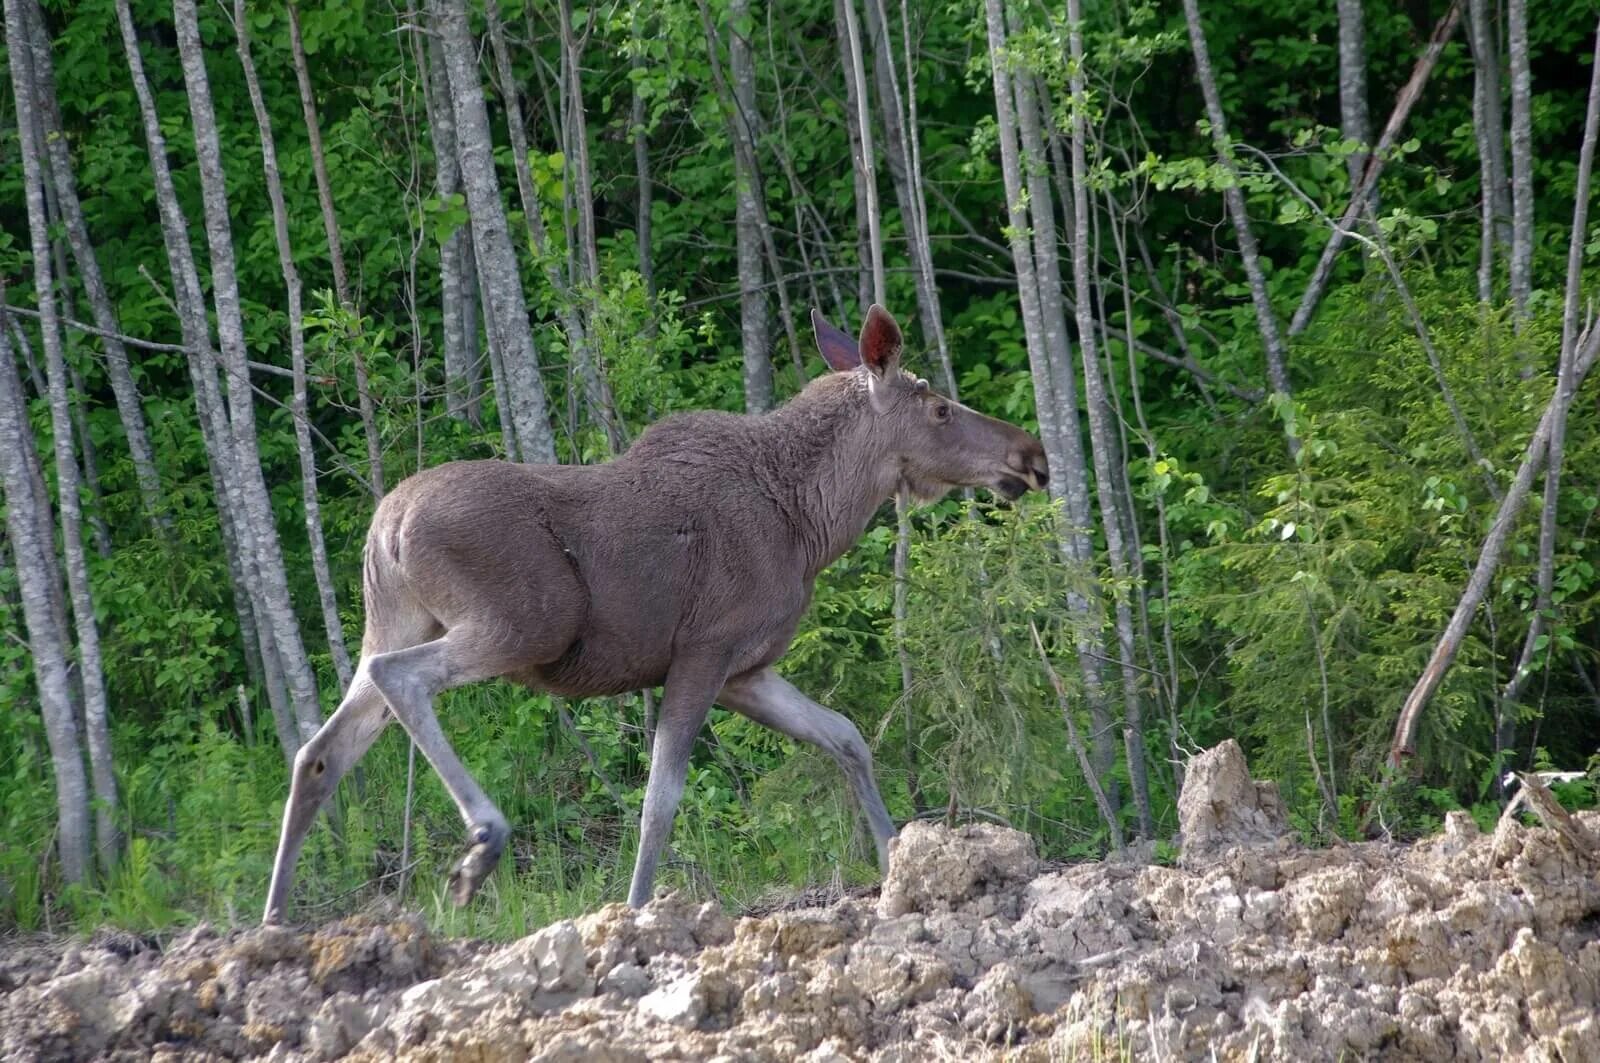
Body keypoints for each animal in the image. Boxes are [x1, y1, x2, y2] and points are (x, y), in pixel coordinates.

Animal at [262, 300, 1049, 922]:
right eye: (940, 408)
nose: (1032, 453)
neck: (813, 518)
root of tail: (385, 528)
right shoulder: (703, 653)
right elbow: (661, 798)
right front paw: (636, 912)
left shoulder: (746, 672)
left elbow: (846, 736)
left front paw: (897, 861)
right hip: (521, 626)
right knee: (402, 679)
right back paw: (481, 842)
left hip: (396, 619)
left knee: (319, 749)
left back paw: (274, 919)